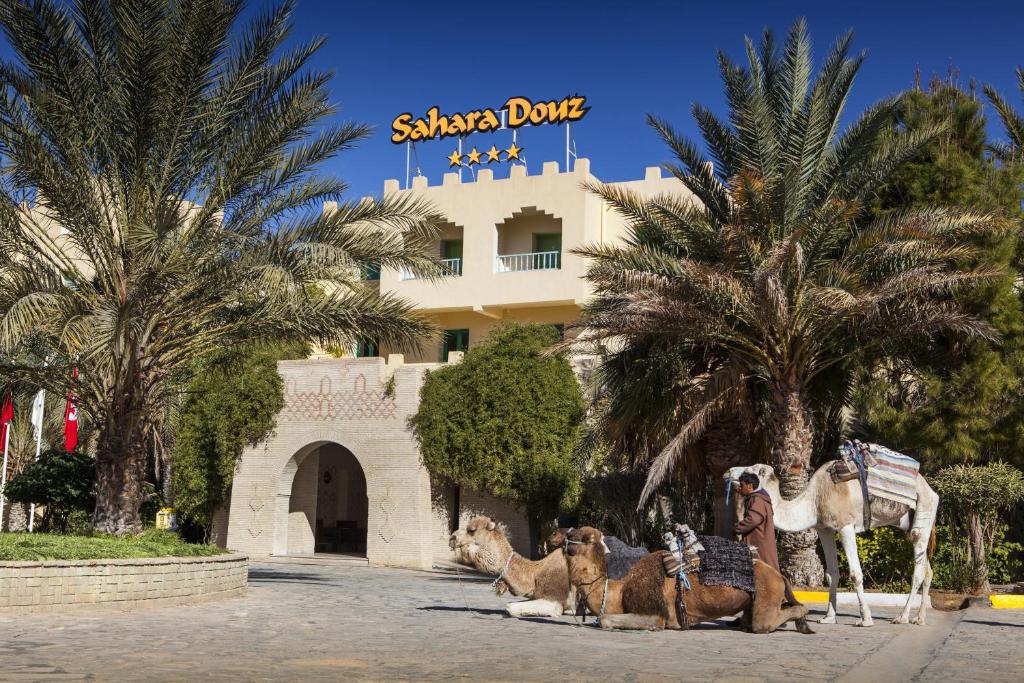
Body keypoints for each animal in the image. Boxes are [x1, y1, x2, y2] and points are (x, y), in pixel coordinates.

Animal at [565, 528, 811, 634]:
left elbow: (605, 619)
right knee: (750, 620)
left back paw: (803, 623)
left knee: (767, 622)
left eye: (577, 536)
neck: (620, 590)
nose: (561, 533)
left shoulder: (655, 613)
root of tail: (779, 575)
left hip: (767, 594)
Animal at [729, 462, 937, 626]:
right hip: (909, 527)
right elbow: (832, 574)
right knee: (928, 571)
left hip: (923, 513)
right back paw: (919, 618)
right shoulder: (825, 528)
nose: (729, 471)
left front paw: (865, 619)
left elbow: (855, 573)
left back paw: (902, 617)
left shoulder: (845, 525)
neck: (814, 500)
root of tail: (931, 490)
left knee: (918, 571)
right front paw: (829, 617)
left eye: (749, 470)